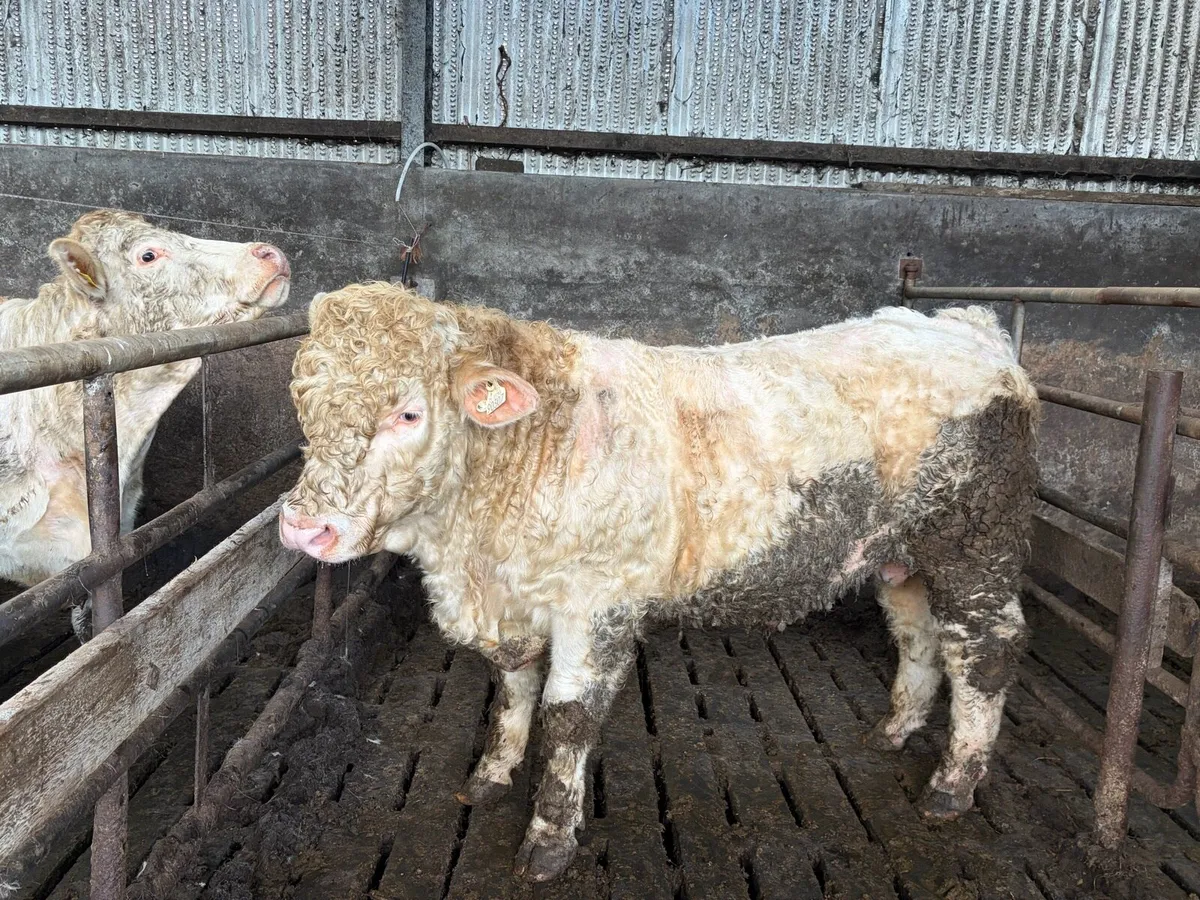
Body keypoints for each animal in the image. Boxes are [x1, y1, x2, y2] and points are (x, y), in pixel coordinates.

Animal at [279, 283, 1038, 882]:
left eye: (407, 413)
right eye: (303, 404)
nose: (303, 527)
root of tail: (965, 325)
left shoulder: (595, 603)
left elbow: (567, 717)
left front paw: (549, 838)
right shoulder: (512, 597)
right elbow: (514, 685)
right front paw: (492, 773)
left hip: (975, 546)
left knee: (985, 651)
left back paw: (952, 783)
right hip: (900, 555)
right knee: (918, 635)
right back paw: (895, 729)